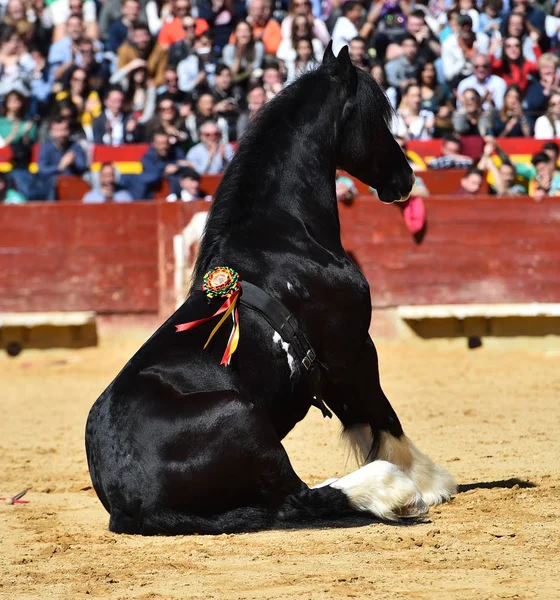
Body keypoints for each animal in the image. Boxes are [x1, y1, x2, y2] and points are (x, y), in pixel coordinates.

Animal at [85, 44, 458, 536]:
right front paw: (429, 482)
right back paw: (392, 491)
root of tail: (131, 505)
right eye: (378, 118)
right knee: (296, 499)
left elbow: (361, 419)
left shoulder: (331, 369)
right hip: (244, 417)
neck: (287, 237)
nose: (405, 178)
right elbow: (384, 417)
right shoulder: (354, 351)